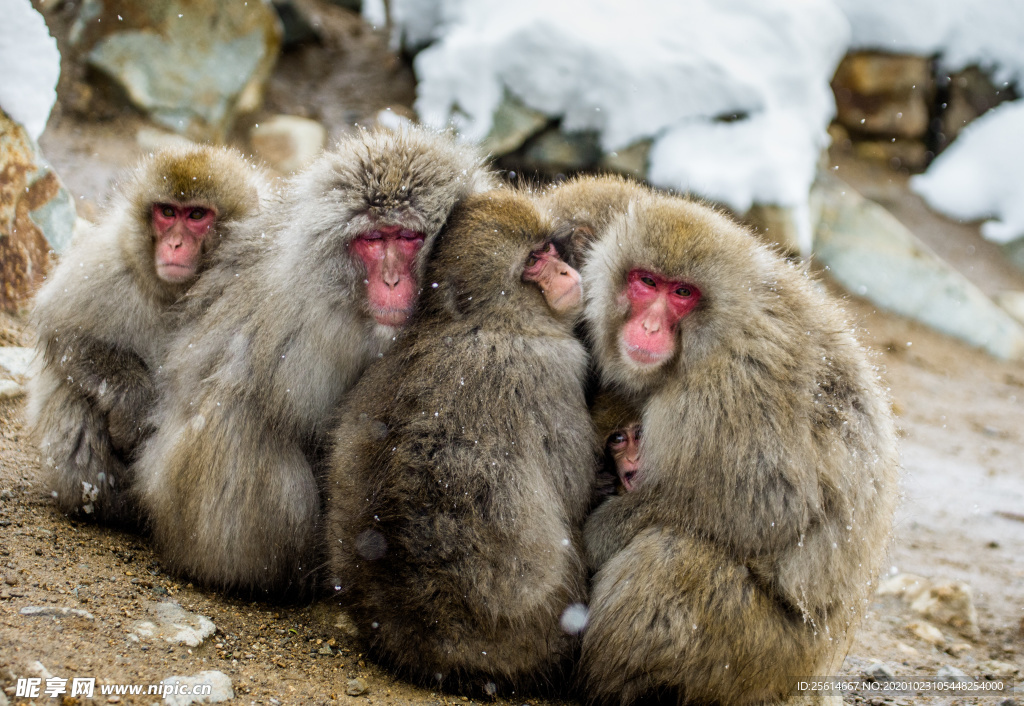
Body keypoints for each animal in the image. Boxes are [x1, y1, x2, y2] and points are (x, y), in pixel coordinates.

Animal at [323, 189, 598, 692]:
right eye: (534, 262)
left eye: (549, 249)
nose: (566, 273)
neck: (482, 322)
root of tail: (426, 647)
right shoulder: (551, 369)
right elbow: (574, 493)